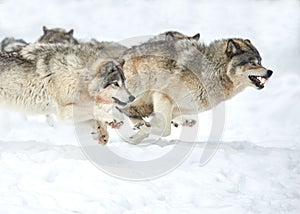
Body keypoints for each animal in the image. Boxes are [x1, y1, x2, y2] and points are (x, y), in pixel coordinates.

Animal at [0, 43, 135, 144]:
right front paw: (113, 119)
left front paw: (103, 132)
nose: (132, 97)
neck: (76, 75)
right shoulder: (64, 112)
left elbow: (94, 119)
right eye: (116, 83)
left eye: (124, 82)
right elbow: (96, 111)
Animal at [118, 37, 274, 144]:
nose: (270, 72)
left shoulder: (176, 107)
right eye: (252, 63)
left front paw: (133, 138)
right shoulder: (163, 96)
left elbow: (158, 125)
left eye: (260, 61)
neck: (212, 71)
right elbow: (165, 130)